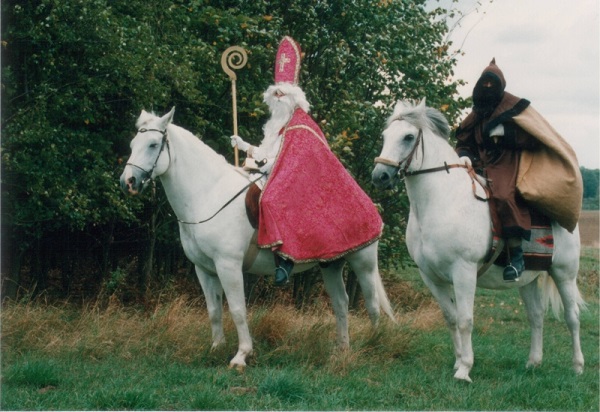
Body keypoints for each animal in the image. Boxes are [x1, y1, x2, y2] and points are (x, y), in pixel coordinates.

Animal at [119, 108, 396, 368]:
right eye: (132, 144)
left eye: (153, 144)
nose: (128, 182)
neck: (208, 195)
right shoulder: (204, 269)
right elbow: (214, 310)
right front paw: (216, 348)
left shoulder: (228, 266)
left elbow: (238, 310)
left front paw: (241, 355)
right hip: (331, 265)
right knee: (341, 303)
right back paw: (341, 350)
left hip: (363, 261)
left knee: (371, 304)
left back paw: (372, 345)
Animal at [372, 100, 584, 384]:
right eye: (385, 136)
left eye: (407, 137)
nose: (380, 176)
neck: (441, 201)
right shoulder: (431, 277)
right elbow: (450, 317)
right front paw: (458, 361)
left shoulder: (463, 272)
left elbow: (465, 319)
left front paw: (465, 369)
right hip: (528, 279)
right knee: (536, 316)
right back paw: (533, 363)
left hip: (564, 274)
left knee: (572, 317)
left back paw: (577, 367)